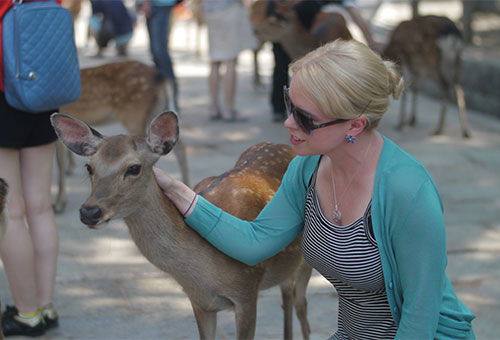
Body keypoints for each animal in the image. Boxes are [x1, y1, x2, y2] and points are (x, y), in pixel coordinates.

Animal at [48, 111, 310, 340]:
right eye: (89, 167)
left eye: (134, 168)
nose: (89, 212)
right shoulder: (200, 302)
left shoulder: (247, 291)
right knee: (287, 295)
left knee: (301, 305)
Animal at [53, 59, 188, 212]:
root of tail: (161, 77)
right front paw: (70, 168)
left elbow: (60, 162)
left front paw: (59, 203)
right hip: (157, 109)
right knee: (180, 146)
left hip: (135, 116)